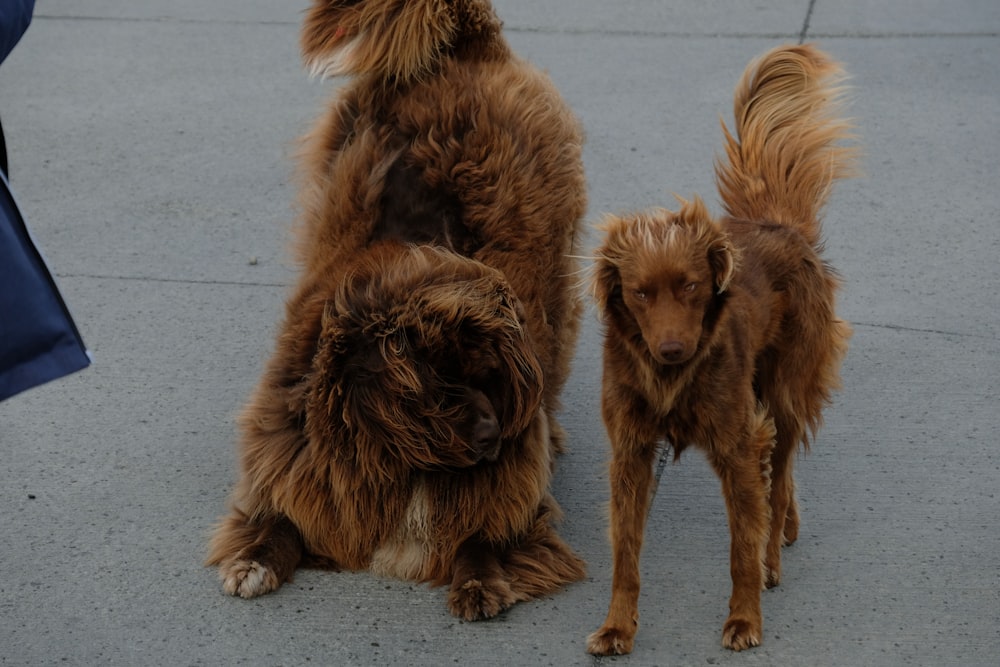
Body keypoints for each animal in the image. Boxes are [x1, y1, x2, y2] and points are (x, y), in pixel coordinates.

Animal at [208, 0, 588, 624]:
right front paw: (254, 560)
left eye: (489, 376)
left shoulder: (514, 498)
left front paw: (479, 581)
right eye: (438, 386)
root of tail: (470, 48)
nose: (491, 431)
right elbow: (280, 519)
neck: (401, 460)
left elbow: (486, 536)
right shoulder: (301, 465)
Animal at [584, 44, 860, 656]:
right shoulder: (630, 454)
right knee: (774, 475)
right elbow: (625, 553)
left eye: (691, 286)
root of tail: (777, 224)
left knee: (776, 482)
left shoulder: (733, 444)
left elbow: (740, 548)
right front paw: (617, 627)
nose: (670, 348)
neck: (671, 379)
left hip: (785, 392)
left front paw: (744, 619)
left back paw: (774, 553)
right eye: (640, 293)